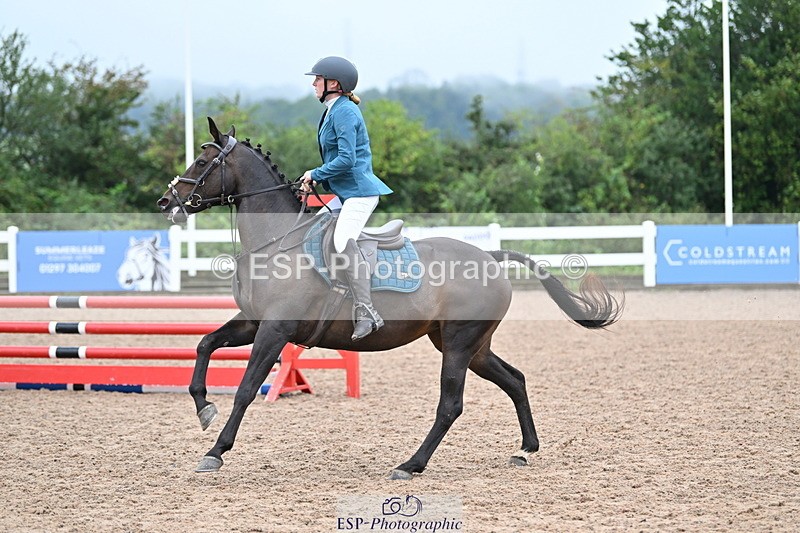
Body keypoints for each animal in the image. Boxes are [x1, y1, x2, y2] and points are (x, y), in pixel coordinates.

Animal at [157, 117, 623, 480]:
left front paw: (215, 451)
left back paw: (411, 464)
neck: (277, 241)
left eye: (202, 162)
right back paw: (525, 449)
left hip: (459, 344)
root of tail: (489, 256)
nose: (166, 201)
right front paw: (203, 408)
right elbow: (205, 345)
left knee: (450, 405)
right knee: (515, 379)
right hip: (470, 345)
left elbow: (246, 389)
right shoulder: (254, 323)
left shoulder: (275, 330)